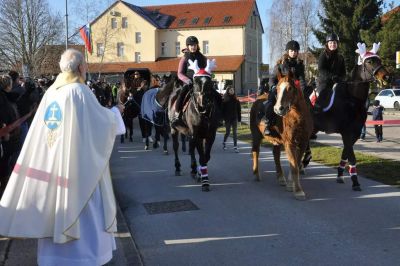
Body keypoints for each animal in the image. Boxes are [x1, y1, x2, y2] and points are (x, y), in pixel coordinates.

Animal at [250, 70, 312, 200]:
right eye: (277, 88)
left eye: (290, 88)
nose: (278, 109)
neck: (297, 118)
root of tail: (257, 99)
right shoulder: (289, 143)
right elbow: (294, 166)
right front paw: (298, 191)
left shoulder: (303, 143)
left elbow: (296, 163)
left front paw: (290, 183)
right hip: (256, 136)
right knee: (255, 151)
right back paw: (256, 174)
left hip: (277, 141)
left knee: (276, 155)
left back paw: (280, 177)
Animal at [312, 42, 390, 191]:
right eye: (370, 61)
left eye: (379, 60)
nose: (386, 77)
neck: (352, 98)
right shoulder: (347, 132)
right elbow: (352, 156)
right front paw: (355, 182)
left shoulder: (355, 132)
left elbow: (345, 153)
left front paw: (340, 175)